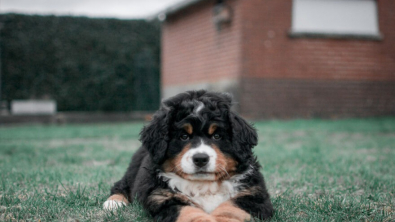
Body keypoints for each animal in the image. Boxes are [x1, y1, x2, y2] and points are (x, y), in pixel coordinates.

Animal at [103, 89, 274, 221]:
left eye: (217, 136)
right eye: (183, 136)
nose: (200, 159)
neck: (204, 185)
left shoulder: (254, 195)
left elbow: (231, 208)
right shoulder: (161, 198)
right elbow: (187, 211)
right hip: (133, 171)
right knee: (120, 186)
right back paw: (113, 203)